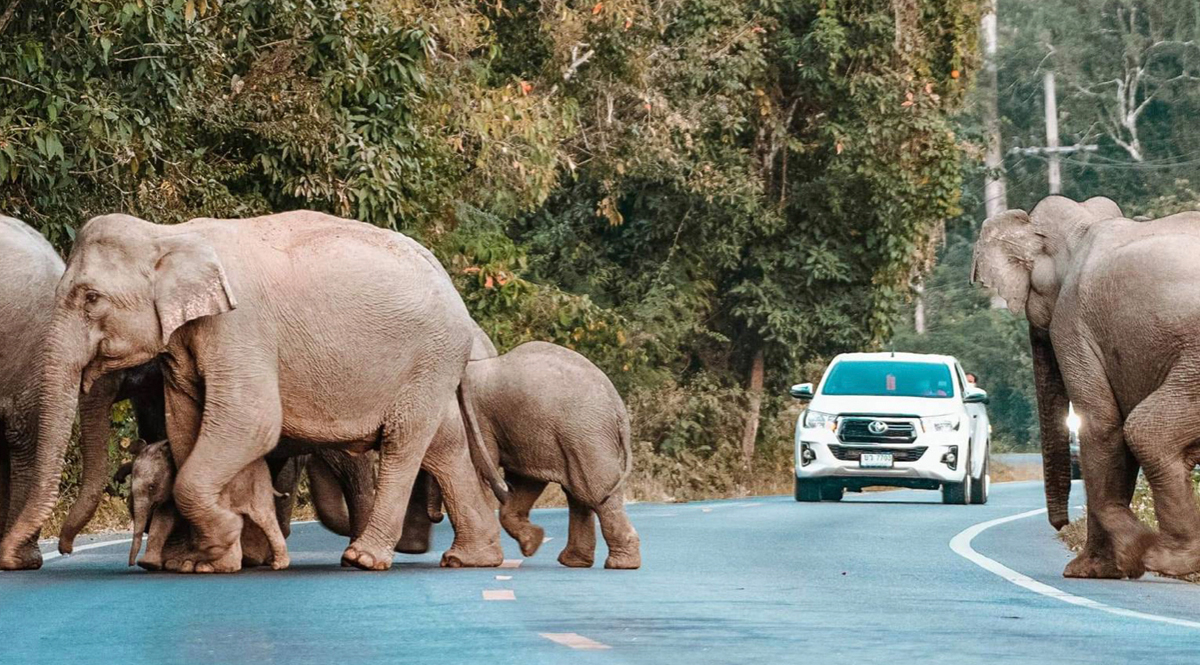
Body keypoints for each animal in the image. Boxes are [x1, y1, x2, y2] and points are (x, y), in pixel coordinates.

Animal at [128, 439, 290, 568]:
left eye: (152, 487)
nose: (131, 564)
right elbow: (163, 518)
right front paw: (149, 564)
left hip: (258, 484)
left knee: (263, 516)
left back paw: (277, 565)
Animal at [314, 340, 643, 564]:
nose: (435, 516)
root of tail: (619, 409)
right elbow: (524, 483)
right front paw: (532, 544)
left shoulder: (480, 420)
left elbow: (488, 470)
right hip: (578, 435)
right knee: (580, 493)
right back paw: (576, 562)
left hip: (585, 434)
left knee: (594, 490)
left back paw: (620, 564)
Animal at [969, 195, 1200, 573]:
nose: (1060, 525)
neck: (1085, 224)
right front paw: (1106, 568)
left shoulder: (1072, 321)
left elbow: (1103, 425)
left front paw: (1102, 565)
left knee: (1144, 432)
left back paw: (1168, 559)